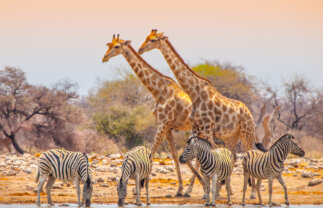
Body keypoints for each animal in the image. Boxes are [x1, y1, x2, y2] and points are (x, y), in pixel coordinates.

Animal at [102, 34, 205, 197]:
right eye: (109, 45)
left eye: (117, 46)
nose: (104, 57)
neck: (158, 91)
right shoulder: (167, 126)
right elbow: (173, 155)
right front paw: (179, 189)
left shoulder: (163, 123)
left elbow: (152, 152)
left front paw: (140, 186)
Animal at [138, 28, 268, 197]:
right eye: (146, 37)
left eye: (153, 40)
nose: (140, 49)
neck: (194, 92)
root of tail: (249, 112)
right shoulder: (198, 128)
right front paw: (207, 190)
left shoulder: (206, 129)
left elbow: (209, 155)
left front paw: (209, 190)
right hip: (231, 136)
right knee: (233, 155)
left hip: (247, 133)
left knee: (249, 154)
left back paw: (250, 192)